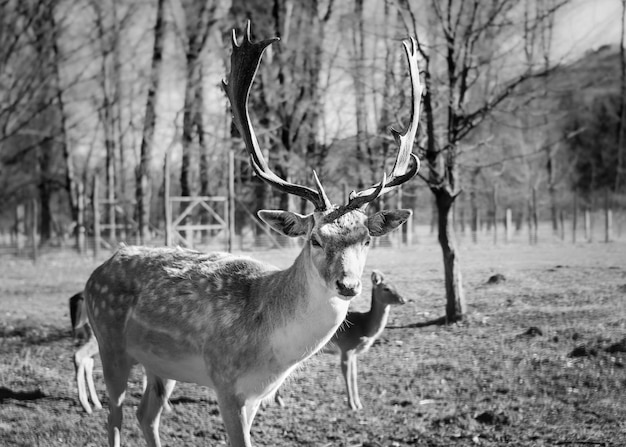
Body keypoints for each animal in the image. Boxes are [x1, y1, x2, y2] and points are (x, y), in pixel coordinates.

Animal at [332, 272, 404, 412]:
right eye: (386, 288)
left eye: (395, 285)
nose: (403, 300)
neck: (363, 327)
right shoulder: (345, 348)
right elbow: (346, 375)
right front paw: (352, 406)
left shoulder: (353, 353)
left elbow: (354, 375)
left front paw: (359, 405)